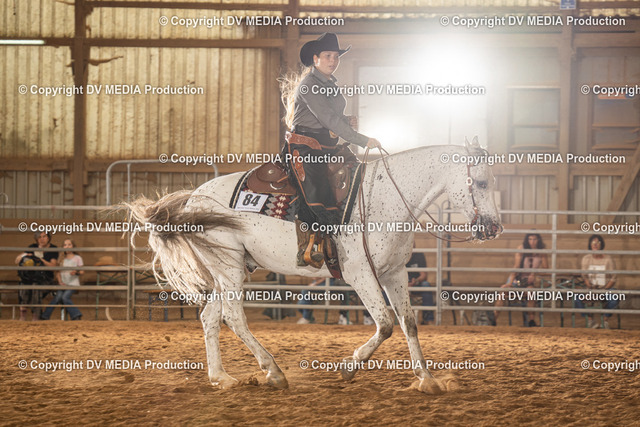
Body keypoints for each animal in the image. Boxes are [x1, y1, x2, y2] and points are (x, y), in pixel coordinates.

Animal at [128, 138, 502, 394]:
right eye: (482, 183)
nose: (494, 228)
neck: (385, 198)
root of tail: (193, 198)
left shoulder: (395, 273)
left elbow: (408, 324)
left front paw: (426, 379)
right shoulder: (361, 275)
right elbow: (384, 324)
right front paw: (349, 367)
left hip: (224, 271)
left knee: (210, 317)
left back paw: (221, 377)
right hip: (228, 266)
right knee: (233, 317)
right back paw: (273, 371)